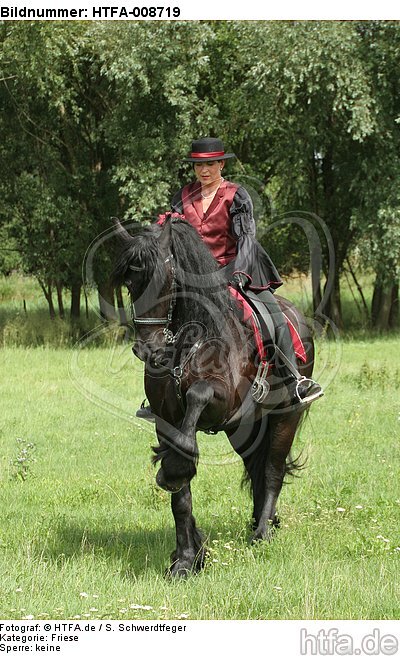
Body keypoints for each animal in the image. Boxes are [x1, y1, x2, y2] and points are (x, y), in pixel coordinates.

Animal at [112, 215, 316, 577]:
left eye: (166, 281)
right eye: (131, 283)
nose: (147, 350)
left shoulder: (222, 401)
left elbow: (198, 396)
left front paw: (175, 471)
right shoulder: (166, 419)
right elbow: (181, 499)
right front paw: (186, 558)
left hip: (285, 416)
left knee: (273, 470)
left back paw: (262, 534)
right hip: (245, 429)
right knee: (256, 467)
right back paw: (258, 522)